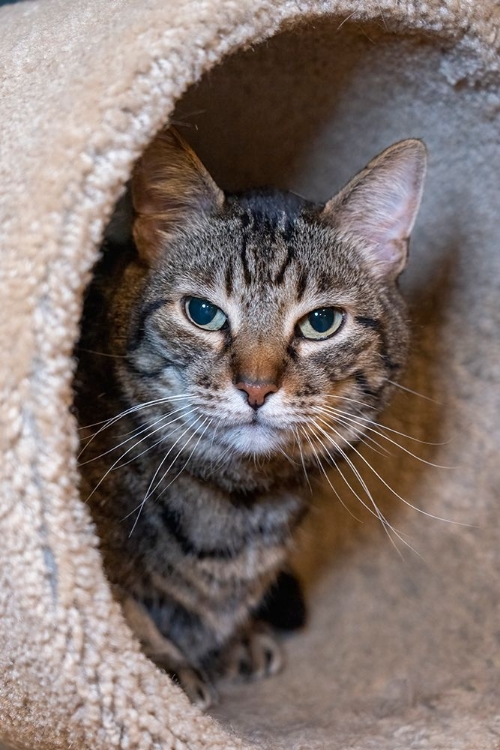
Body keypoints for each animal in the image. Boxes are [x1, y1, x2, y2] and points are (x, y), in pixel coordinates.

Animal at [74, 128, 426, 712]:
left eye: (321, 322)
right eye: (202, 313)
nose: (256, 388)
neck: (240, 504)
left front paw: (236, 638)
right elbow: (121, 609)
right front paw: (162, 670)